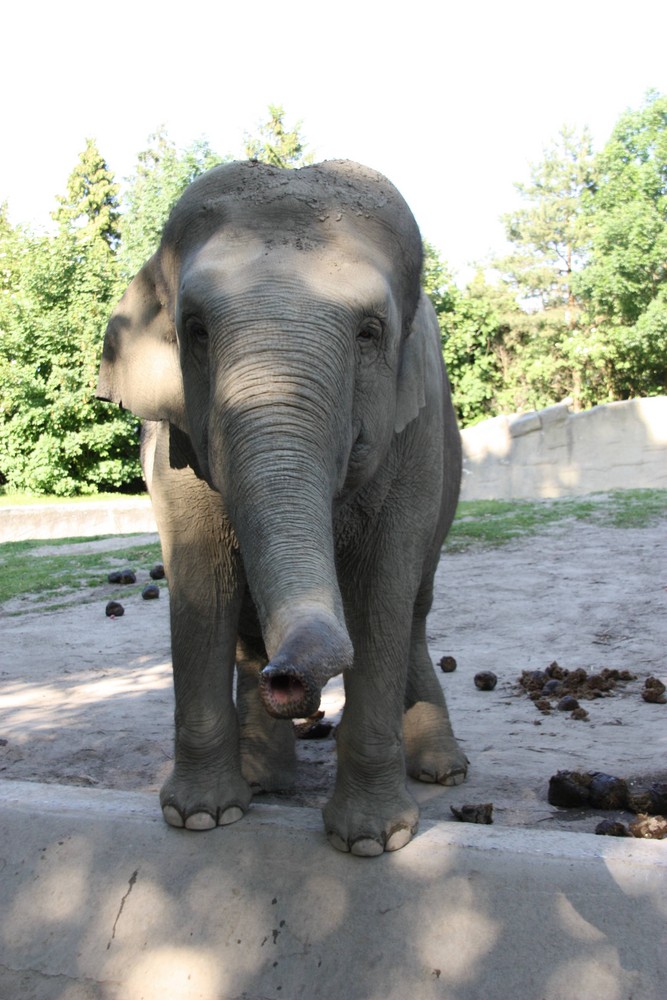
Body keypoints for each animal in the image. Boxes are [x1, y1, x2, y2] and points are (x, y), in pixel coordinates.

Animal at [96, 160, 468, 856]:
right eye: (195, 331)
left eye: (370, 332)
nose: (291, 681)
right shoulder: (175, 442)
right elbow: (202, 582)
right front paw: (201, 818)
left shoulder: (416, 435)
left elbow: (381, 589)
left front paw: (374, 841)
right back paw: (260, 777)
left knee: (413, 610)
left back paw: (442, 771)